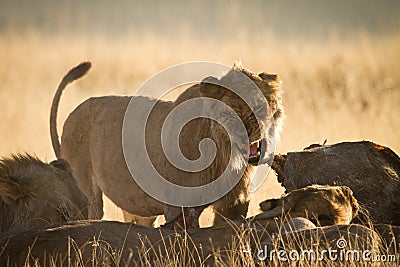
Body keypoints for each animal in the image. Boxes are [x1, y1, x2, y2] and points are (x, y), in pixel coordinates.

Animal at [48, 61, 282, 228]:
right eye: (232, 108)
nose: (249, 131)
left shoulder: (234, 204)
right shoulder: (179, 208)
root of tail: (74, 111)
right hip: (88, 193)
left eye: (260, 106)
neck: (224, 154)